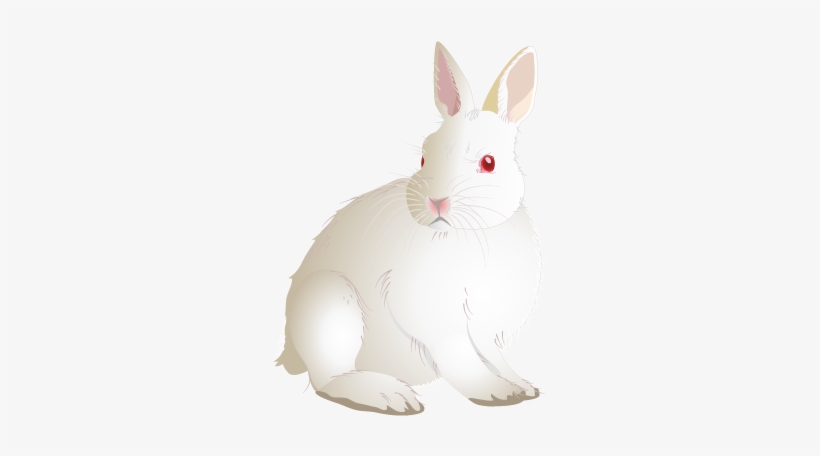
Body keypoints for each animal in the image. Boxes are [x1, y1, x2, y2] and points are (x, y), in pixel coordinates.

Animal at [276, 42, 542, 415]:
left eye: (488, 163)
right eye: (424, 158)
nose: (436, 201)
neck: (469, 231)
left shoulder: (486, 325)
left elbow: (495, 357)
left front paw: (522, 384)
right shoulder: (439, 323)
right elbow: (461, 359)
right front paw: (495, 391)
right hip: (332, 306)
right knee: (328, 379)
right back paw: (389, 394)